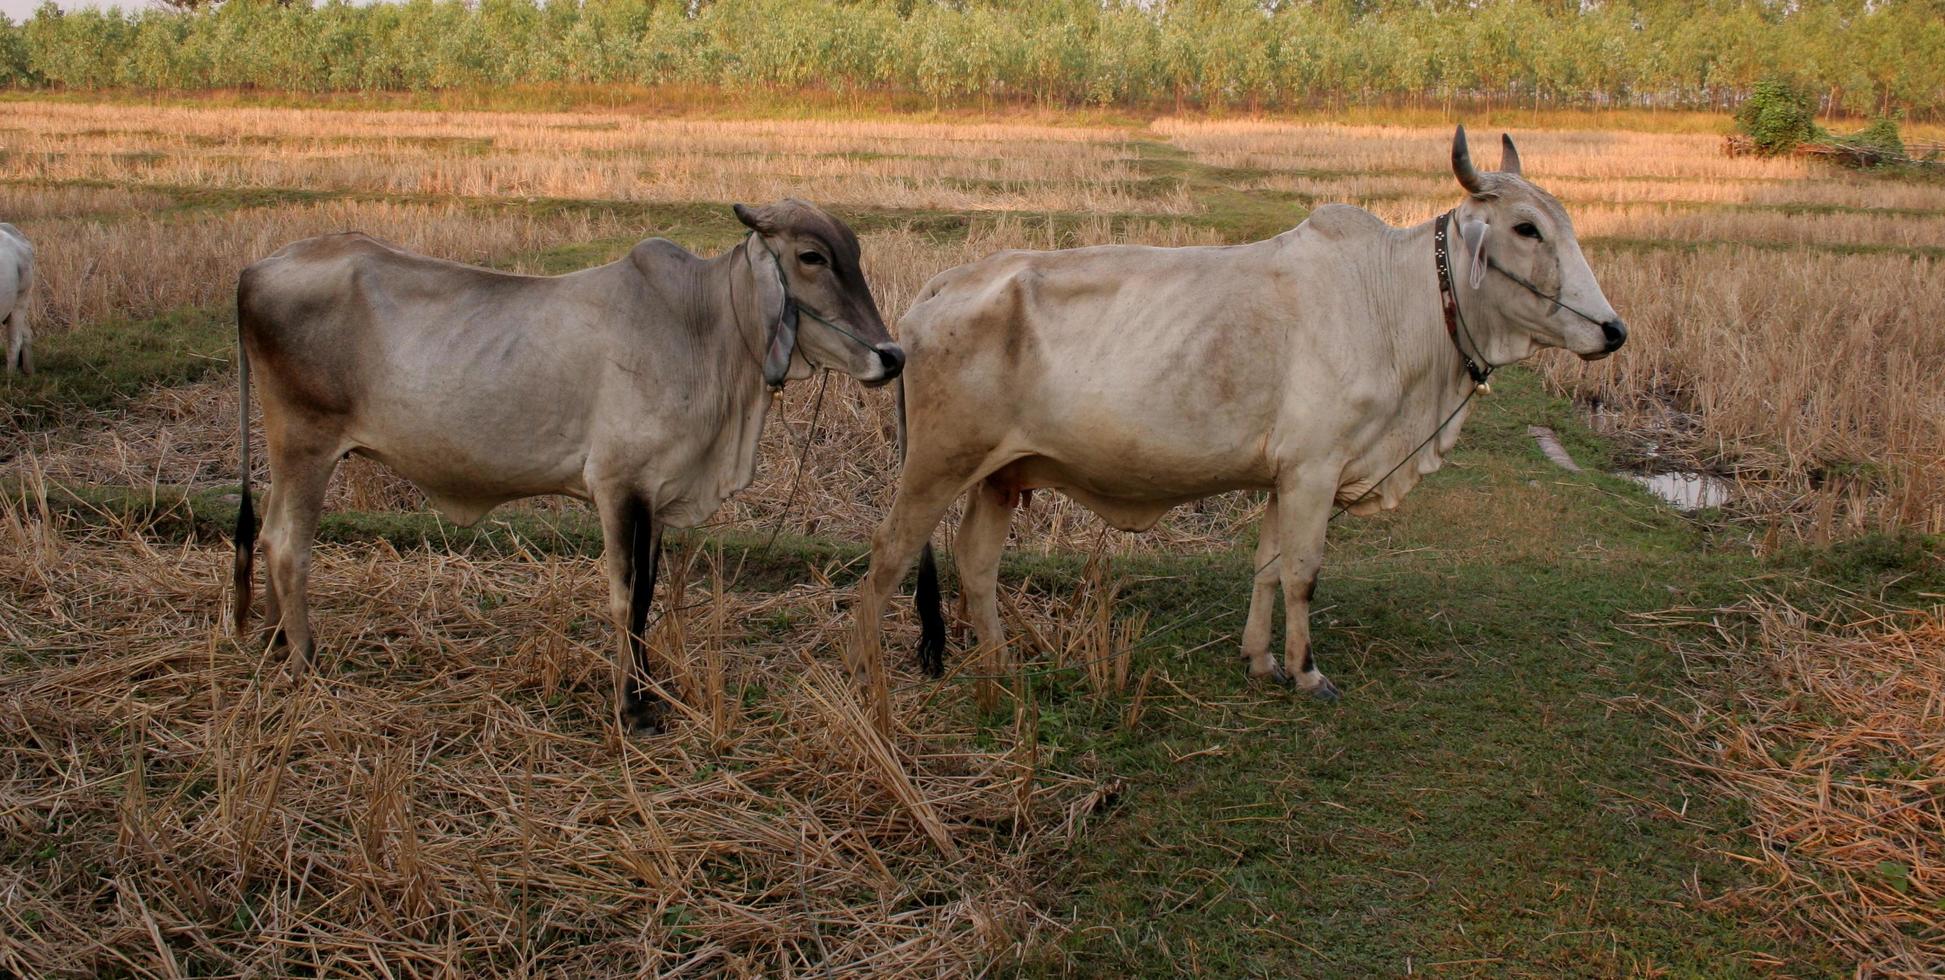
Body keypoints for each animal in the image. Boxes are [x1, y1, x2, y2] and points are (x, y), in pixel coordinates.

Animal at [239, 199, 906, 731]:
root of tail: (254, 270)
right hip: (306, 445)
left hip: (287, 453)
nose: (892, 356)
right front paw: (632, 707)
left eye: (854, 253)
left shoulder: (656, 493)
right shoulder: (618, 486)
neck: (705, 327)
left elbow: (648, 595)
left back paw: (274, 642)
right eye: (813, 257)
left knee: (269, 537)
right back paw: (303, 662)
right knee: (289, 546)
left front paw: (652, 686)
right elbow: (626, 597)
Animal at [855, 128, 1626, 711]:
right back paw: (868, 683)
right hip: (936, 466)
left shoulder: (1285, 476)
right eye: (1525, 228)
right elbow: (1303, 573)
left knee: (975, 563)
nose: (1612, 330)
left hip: (1001, 476)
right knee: (887, 557)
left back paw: (1001, 666)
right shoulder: (1315, 469)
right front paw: (1308, 673)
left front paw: (1260, 659)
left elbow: (1267, 567)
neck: (1390, 298)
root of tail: (941, 286)